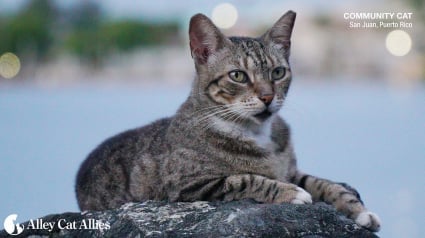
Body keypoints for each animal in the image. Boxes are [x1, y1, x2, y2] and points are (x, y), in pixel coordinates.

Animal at [75, 10, 380, 231]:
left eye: (278, 72)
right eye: (238, 76)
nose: (268, 97)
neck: (258, 132)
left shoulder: (290, 169)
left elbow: (325, 183)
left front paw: (359, 210)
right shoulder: (189, 186)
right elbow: (246, 179)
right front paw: (292, 193)